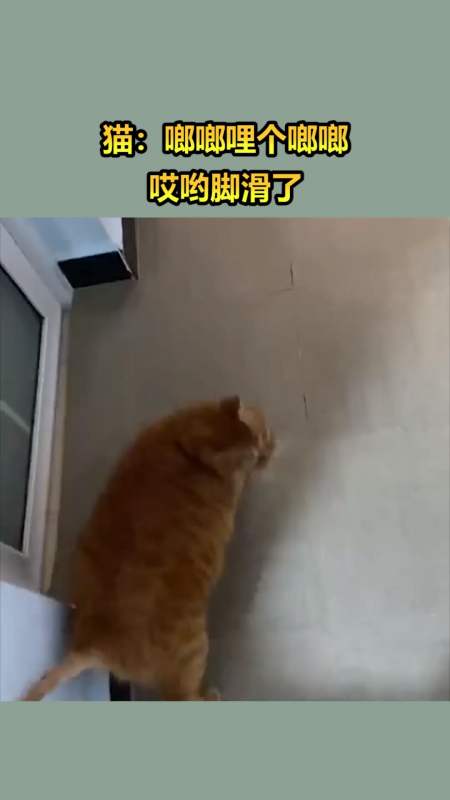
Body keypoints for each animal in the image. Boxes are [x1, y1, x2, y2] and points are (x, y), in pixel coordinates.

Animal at [22, 396, 274, 701]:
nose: (269, 451)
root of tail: (95, 643)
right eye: (258, 448)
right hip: (195, 652)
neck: (187, 446)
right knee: (187, 696)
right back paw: (212, 695)